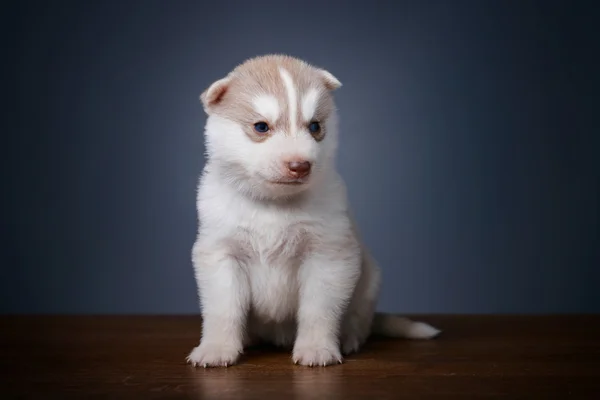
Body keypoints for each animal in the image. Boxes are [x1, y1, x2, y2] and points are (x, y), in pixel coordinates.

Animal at [185, 54, 438, 368]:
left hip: (369, 283)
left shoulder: (328, 255)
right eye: (261, 127)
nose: (300, 165)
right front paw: (216, 348)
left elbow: (318, 310)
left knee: (358, 321)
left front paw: (317, 349)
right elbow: (223, 309)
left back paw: (349, 339)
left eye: (315, 127)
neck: (274, 203)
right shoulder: (220, 253)